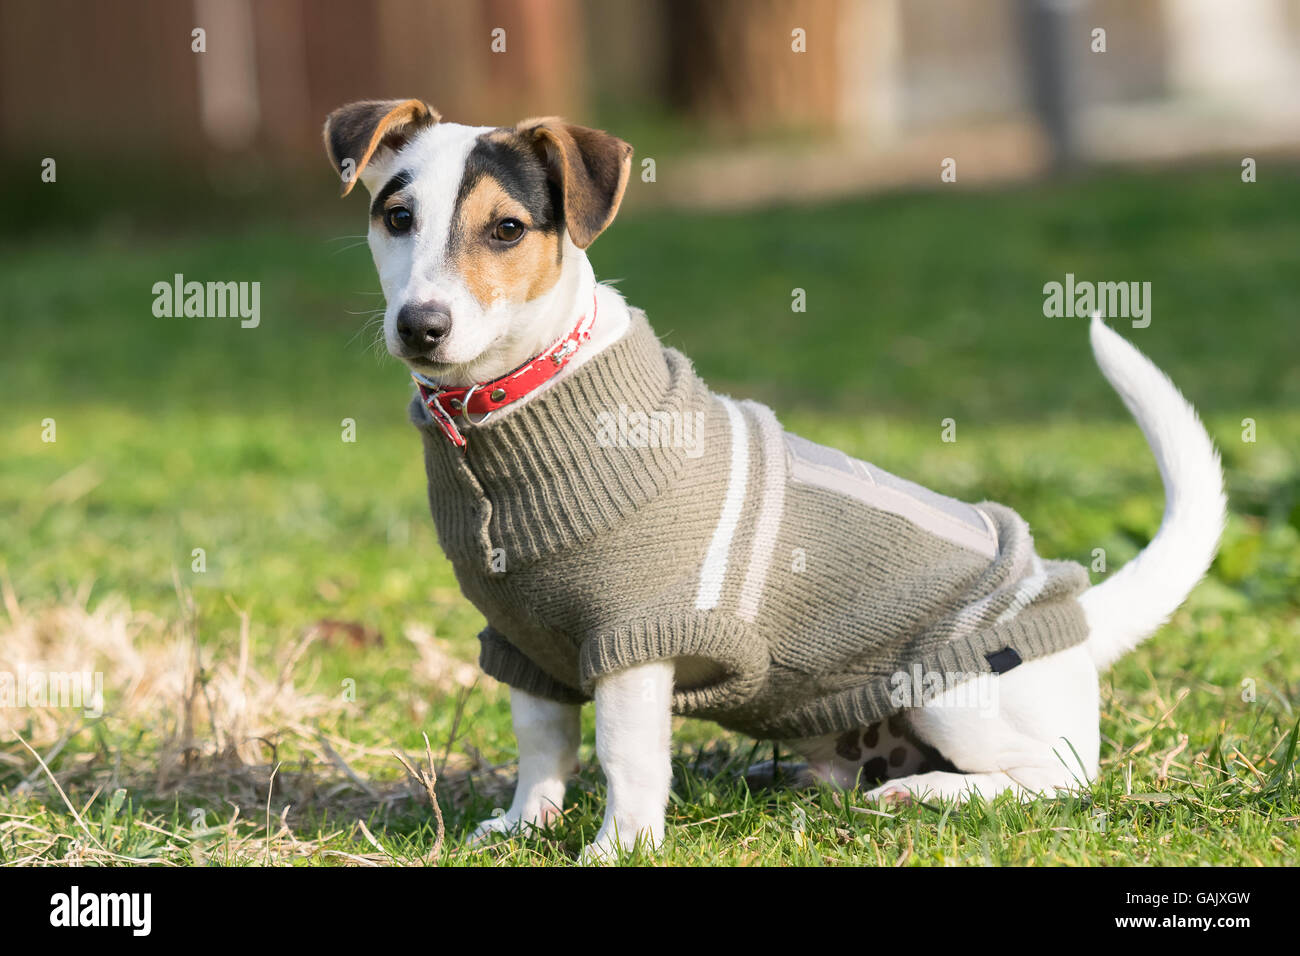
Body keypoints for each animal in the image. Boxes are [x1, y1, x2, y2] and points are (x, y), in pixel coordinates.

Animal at [325, 97, 1227, 858]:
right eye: (397, 218)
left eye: (507, 229)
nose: (421, 325)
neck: (513, 405)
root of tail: (1081, 618)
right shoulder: (523, 643)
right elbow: (542, 742)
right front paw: (522, 826)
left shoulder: (635, 640)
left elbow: (624, 758)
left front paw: (619, 847)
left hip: (953, 688)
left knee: (1056, 780)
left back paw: (930, 793)